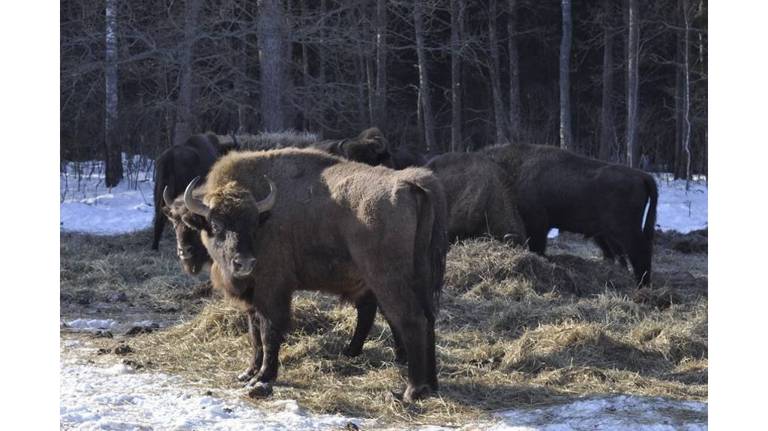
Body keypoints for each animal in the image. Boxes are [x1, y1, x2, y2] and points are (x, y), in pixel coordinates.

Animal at [181, 149, 450, 404]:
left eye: (253, 224)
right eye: (216, 226)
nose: (244, 262)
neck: (266, 217)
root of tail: (408, 182)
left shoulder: (273, 291)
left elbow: (269, 334)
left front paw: (263, 377)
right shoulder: (252, 298)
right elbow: (254, 335)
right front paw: (247, 373)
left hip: (388, 281)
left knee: (411, 320)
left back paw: (411, 391)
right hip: (420, 277)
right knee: (428, 320)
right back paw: (431, 385)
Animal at [484, 143, 656, 286]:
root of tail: (643, 176)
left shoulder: (537, 226)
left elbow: (537, 248)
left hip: (626, 231)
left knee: (640, 251)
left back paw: (642, 284)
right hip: (608, 234)